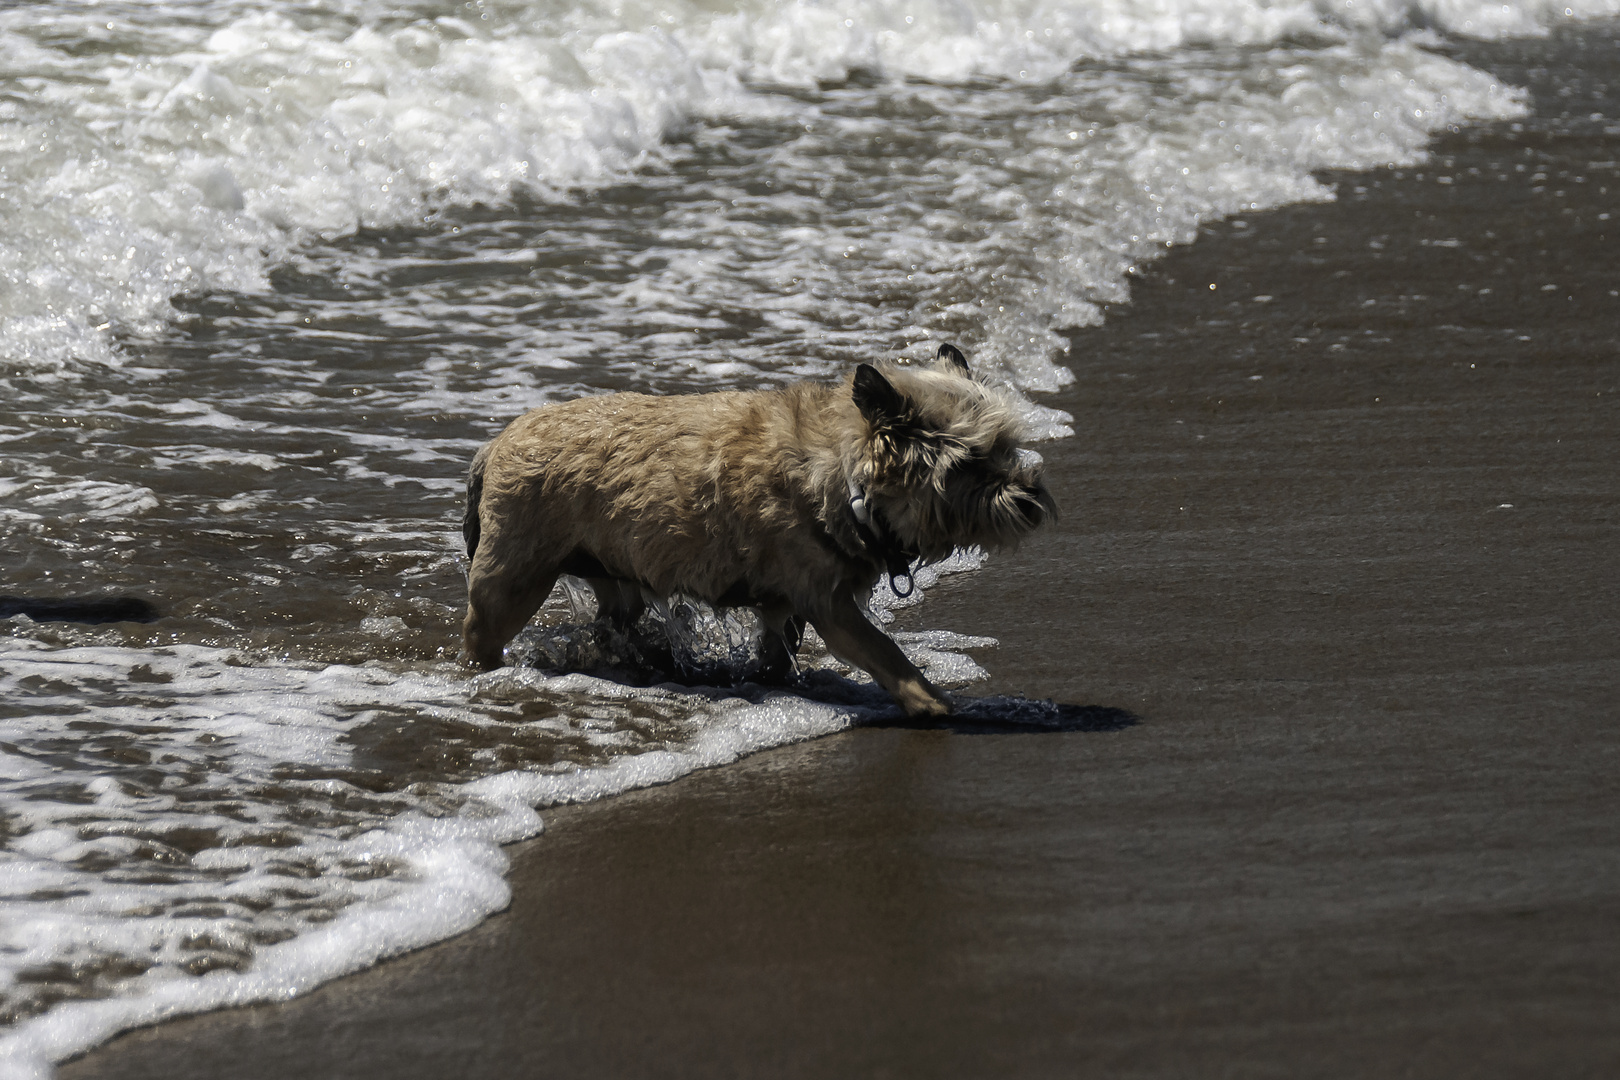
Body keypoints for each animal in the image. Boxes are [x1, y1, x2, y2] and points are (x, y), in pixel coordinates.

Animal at [463, 346, 1056, 718]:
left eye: (1007, 448)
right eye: (971, 465)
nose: (1030, 499)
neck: (845, 471)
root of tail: (493, 444)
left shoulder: (788, 605)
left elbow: (778, 647)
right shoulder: (829, 605)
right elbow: (884, 650)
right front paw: (930, 700)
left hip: (613, 577)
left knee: (615, 621)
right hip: (512, 579)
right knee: (481, 633)